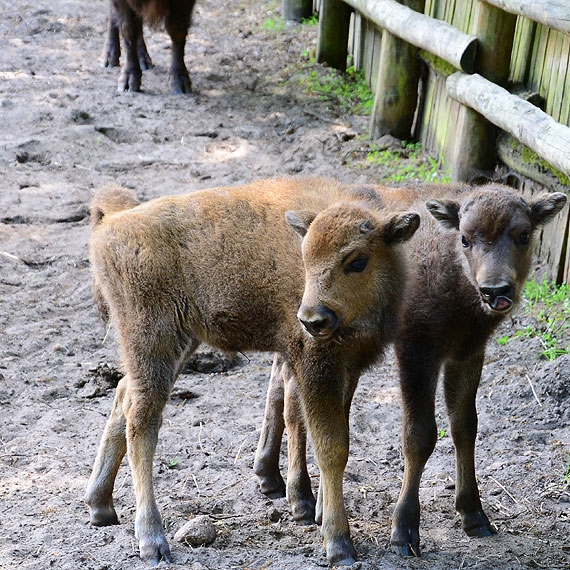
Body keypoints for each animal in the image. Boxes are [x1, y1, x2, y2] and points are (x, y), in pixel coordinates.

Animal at [85, 178, 422, 564]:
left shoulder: (346, 370)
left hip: (176, 345)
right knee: (141, 424)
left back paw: (100, 506)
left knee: (123, 394)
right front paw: (338, 543)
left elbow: (332, 431)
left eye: (358, 261)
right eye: (305, 257)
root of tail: (114, 222)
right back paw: (152, 541)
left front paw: (317, 510)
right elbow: (330, 447)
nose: (311, 319)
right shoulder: (314, 367)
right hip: (152, 341)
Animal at [255, 183, 564, 556]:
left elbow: (464, 427)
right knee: (294, 401)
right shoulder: (417, 353)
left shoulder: (467, 353)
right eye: (465, 238)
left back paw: (272, 479)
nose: (496, 290)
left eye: (523, 234)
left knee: (282, 387)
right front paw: (404, 532)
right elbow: (419, 435)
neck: (447, 265)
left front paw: (474, 516)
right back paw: (300, 499)